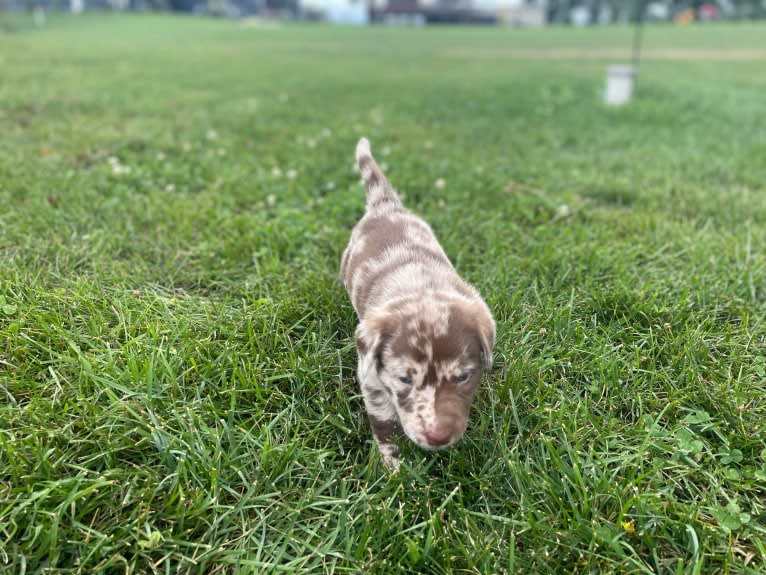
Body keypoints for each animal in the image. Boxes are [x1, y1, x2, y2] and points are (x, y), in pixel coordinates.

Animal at [342, 138, 498, 472]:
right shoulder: (371, 379)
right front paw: (394, 468)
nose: (438, 436)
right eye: (404, 378)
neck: (421, 286)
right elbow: (385, 425)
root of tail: (386, 205)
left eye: (463, 376)